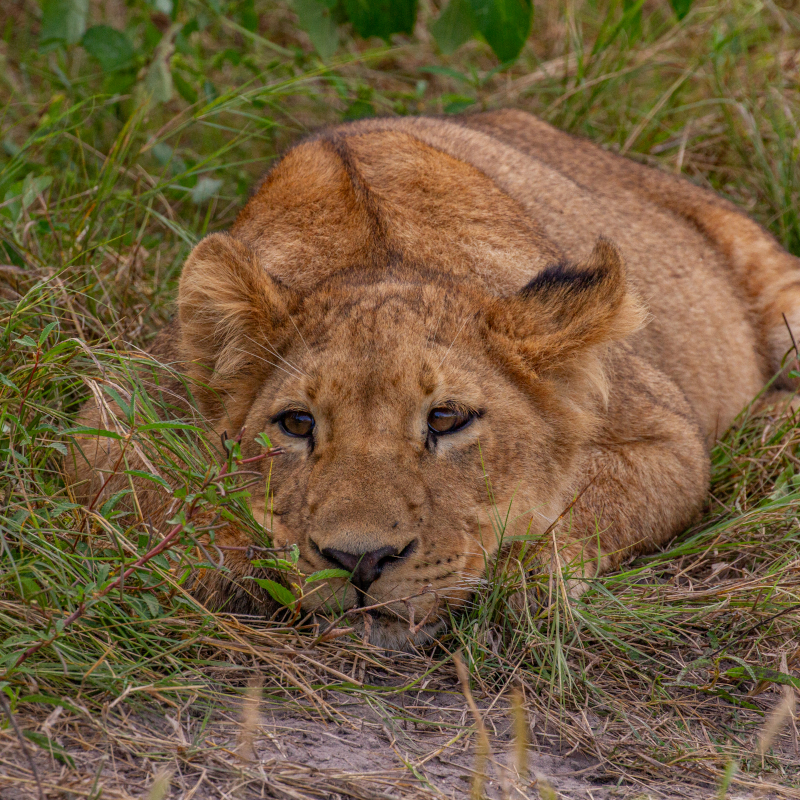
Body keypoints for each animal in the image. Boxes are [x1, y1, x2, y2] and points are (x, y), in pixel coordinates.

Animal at [67, 110, 800, 649]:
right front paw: (238, 565)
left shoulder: (666, 437)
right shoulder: (114, 414)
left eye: (447, 419)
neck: (375, 254)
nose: (360, 562)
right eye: (297, 424)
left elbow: (585, 502)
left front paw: (524, 580)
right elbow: (153, 496)